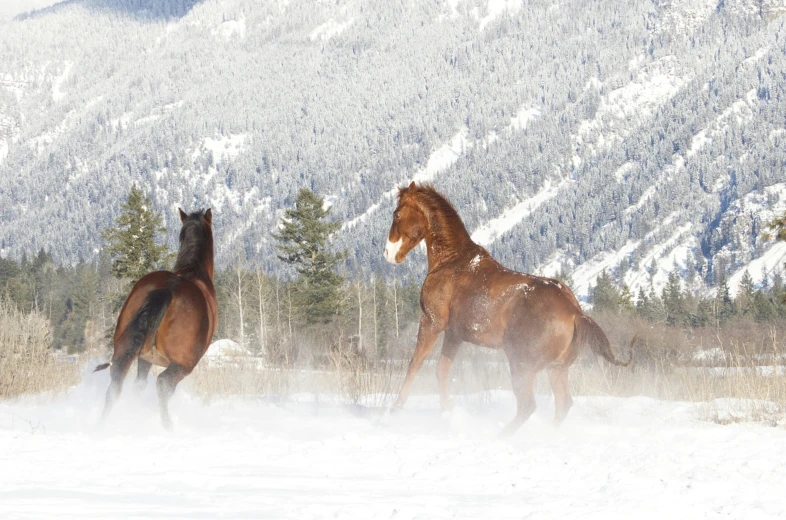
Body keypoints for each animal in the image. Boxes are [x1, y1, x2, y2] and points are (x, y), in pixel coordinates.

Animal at [95, 209, 217, 428]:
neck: (193, 272)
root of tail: (168, 289)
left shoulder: (145, 358)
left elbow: (139, 385)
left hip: (125, 352)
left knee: (115, 385)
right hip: (182, 366)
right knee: (163, 385)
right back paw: (168, 427)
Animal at [380, 183, 632, 434]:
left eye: (396, 214)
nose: (389, 254)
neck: (451, 261)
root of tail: (574, 312)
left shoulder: (431, 323)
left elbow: (415, 365)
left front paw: (395, 410)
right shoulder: (454, 335)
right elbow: (441, 371)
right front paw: (447, 413)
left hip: (522, 365)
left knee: (528, 405)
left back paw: (500, 435)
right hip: (556, 368)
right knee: (562, 404)